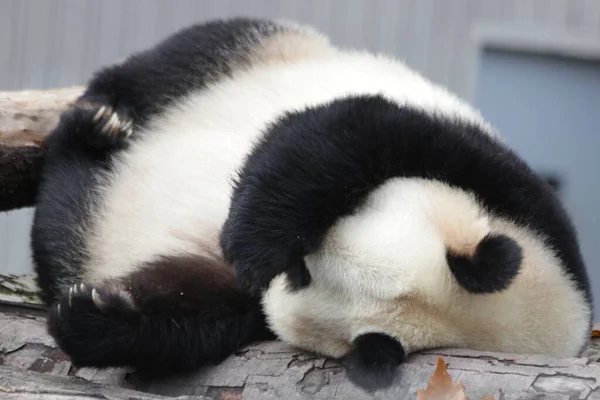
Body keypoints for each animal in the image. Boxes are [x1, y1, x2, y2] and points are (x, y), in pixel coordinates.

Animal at [31, 16, 592, 390]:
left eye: (301, 274)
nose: (260, 283)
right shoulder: (500, 178)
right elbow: (339, 134)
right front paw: (249, 239)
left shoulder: (243, 314)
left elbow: (194, 314)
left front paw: (94, 312)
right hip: (264, 49)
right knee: (174, 61)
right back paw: (101, 121)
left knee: (62, 223)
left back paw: (80, 161)